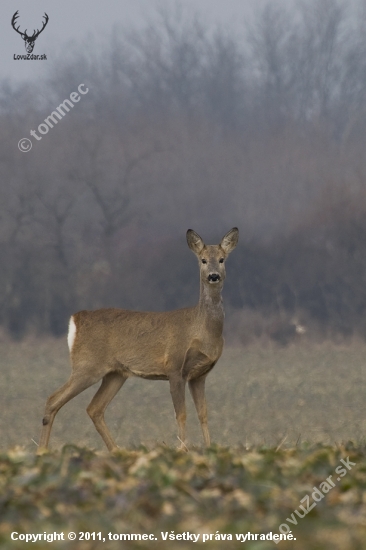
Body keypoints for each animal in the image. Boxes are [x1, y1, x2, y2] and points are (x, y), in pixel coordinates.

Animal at [38, 229, 239, 452]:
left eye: (221, 259)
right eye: (203, 260)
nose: (213, 276)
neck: (202, 330)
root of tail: (77, 319)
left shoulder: (199, 375)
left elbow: (203, 414)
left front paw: (210, 449)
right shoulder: (175, 367)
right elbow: (181, 414)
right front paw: (182, 450)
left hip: (115, 373)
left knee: (94, 408)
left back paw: (117, 451)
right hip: (87, 365)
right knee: (53, 399)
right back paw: (42, 451)